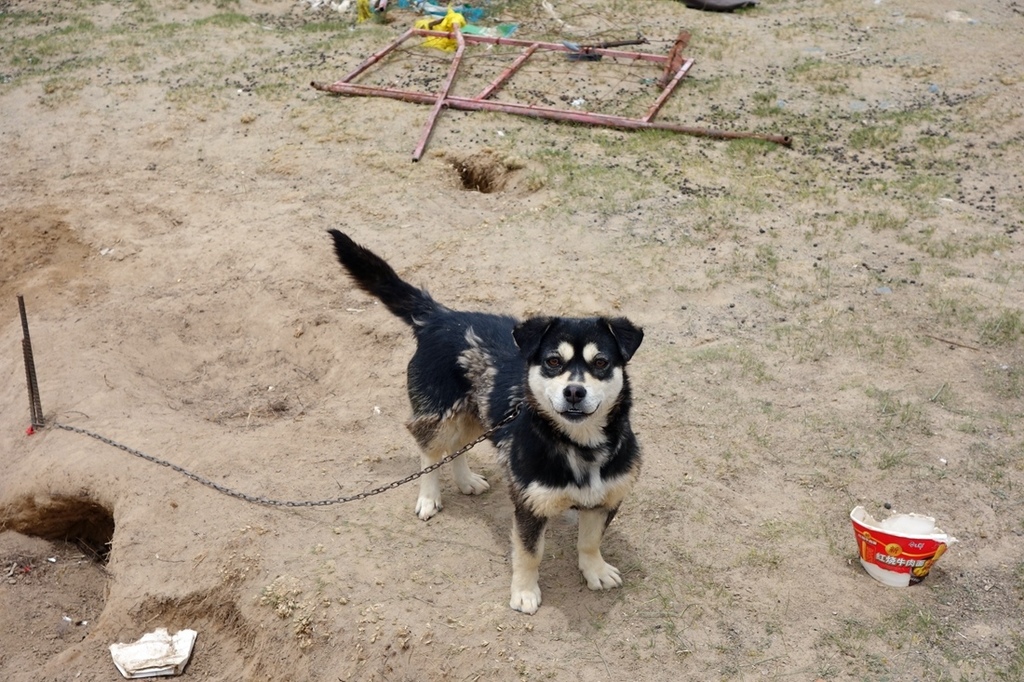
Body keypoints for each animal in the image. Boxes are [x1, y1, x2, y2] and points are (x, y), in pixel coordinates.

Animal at [331, 228, 643, 610]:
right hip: (439, 414)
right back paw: (428, 497)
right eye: (553, 361)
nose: (574, 392)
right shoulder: (528, 505)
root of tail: (439, 317)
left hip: (476, 414)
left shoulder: (607, 497)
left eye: (601, 363)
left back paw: (466, 481)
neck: (579, 444)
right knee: (430, 452)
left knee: (458, 448)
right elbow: (529, 554)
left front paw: (595, 570)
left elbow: (590, 540)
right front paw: (524, 592)